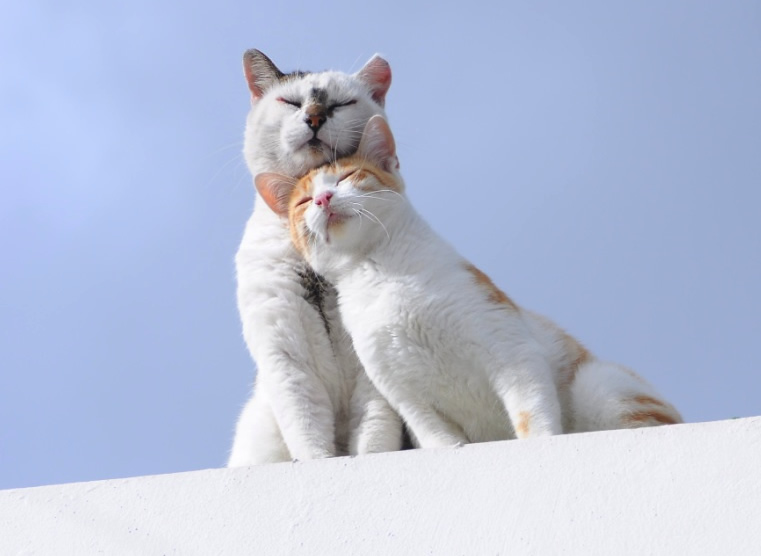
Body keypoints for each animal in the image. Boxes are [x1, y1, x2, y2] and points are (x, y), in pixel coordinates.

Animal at [227, 51, 400, 464]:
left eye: (342, 103)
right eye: (290, 102)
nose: (316, 117)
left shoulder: (374, 360)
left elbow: (375, 429)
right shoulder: (285, 350)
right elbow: (306, 424)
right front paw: (320, 461)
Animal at [256, 116, 684, 448]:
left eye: (348, 175)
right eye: (302, 202)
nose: (323, 199)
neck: (380, 272)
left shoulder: (511, 349)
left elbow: (531, 413)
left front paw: (540, 442)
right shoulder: (405, 396)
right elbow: (439, 438)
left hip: (600, 385)